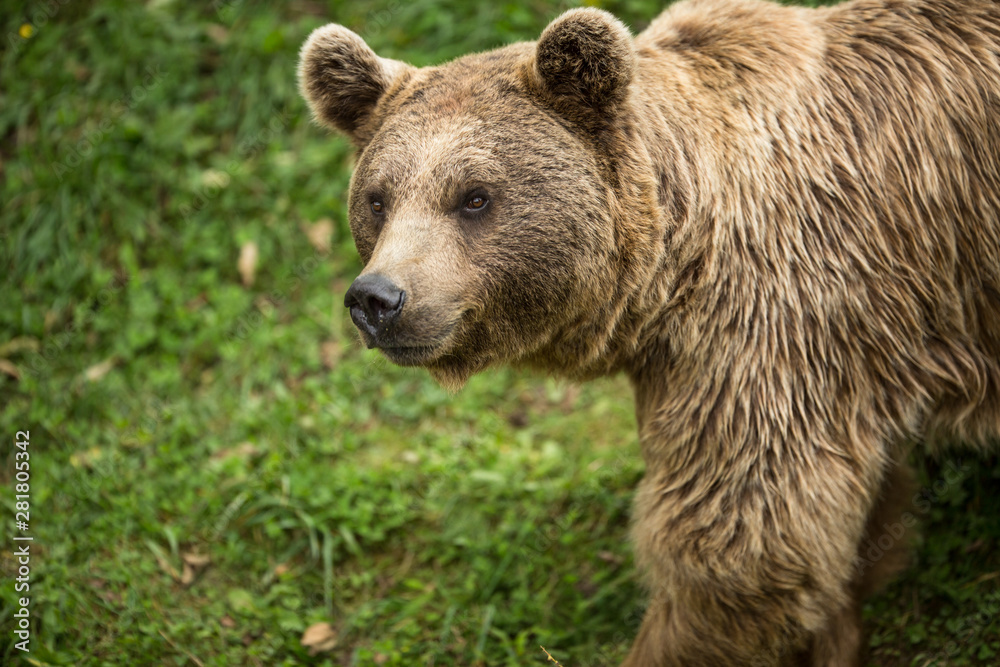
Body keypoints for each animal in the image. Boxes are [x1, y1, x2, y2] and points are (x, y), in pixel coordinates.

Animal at [298, 0, 1000, 664]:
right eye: (378, 198)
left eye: (474, 196)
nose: (378, 299)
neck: (671, 271)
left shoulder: (771, 326)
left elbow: (744, 539)